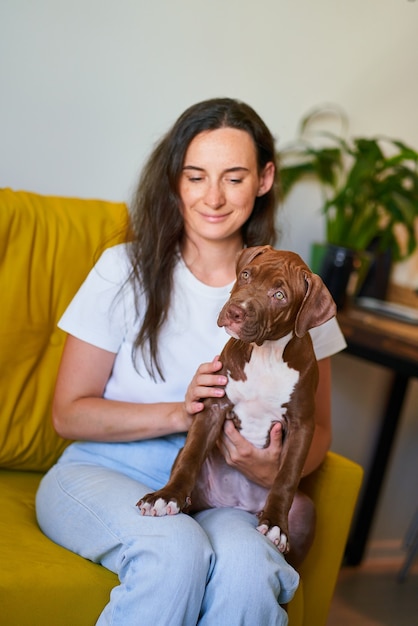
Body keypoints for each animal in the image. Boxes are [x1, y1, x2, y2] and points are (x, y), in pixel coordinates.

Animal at [138, 244, 336, 552]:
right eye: (246, 275)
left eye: (279, 295)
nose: (234, 311)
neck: (266, 354)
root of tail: (237, 504)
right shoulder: (214, 404)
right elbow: (191, 455)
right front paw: (166, 496)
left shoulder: (302, 423)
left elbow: (288, 475)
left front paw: (276, 524)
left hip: (305, 516)